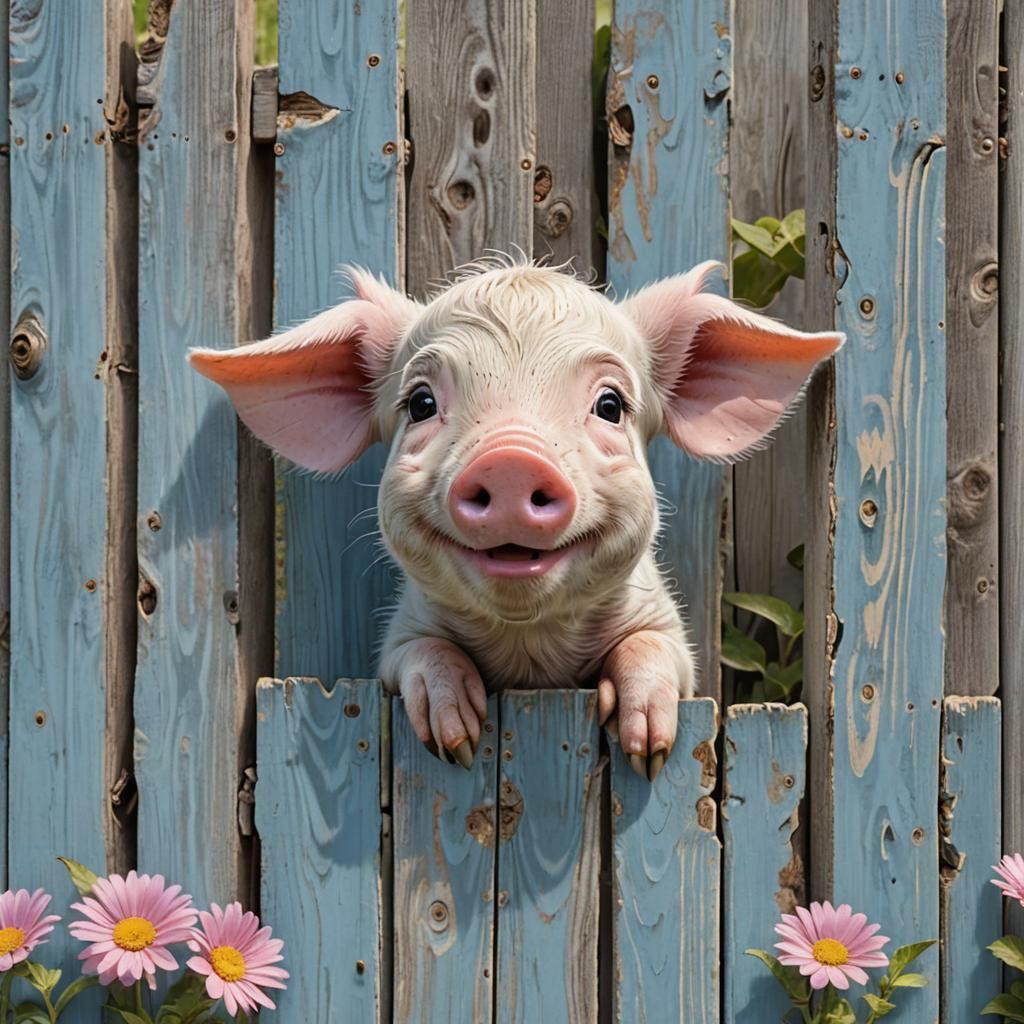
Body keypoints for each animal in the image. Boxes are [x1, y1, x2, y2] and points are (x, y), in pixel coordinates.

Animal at [189, 257, 842, 780]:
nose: (510, 460)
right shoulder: (398, 640)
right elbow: (419, 655)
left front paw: (647, 751)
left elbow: (657, 650)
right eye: (420, 402)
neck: (531, 660)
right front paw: (456, 741)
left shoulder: (669, 631)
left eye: (611, 405)